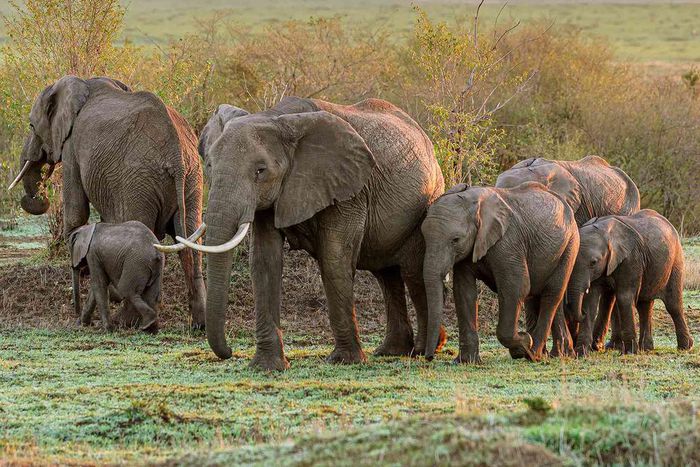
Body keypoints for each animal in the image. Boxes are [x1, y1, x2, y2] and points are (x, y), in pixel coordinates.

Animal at [8, 75, 207, 328]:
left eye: (32, 126)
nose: (34, 197)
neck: (80, 83)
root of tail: (176, 155)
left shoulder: (72, 146)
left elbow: (76, 211)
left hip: (138, 183)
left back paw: (127, 322)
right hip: (193, 179)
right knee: (191, 240)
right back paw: (199, 324)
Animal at [163, 96, 445, 370]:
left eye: (260, 171)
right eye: (209, 165)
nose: (230, 352)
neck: (276, 118)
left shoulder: (347, 188)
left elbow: (334, 259)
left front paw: (344, 361)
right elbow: (264, 261)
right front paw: (267, 367)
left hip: (426, 204)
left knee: (412, 272)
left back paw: (426, 349)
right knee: (386, 275)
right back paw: (392, 351)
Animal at [422, 182, 580, 363]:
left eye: (455, 240)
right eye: (424, 237)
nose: (429, 357)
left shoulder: (508, 242)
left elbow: (516, 287)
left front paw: (524, 343)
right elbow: (464, 291)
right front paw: (466, 362)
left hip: (570, 245)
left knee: (552, 294)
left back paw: (534, 354)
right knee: (549, 296)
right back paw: (560, 354)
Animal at [564, 210, 693, 354]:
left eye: (593, 262)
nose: (581, 313)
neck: (606, 233)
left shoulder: (631, 259)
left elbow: (624, 297)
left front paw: (630, 352)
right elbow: (590, 300)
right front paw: (581, 353)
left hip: (675, 261)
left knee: (673, 305)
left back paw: (685, 347)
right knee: (644, 306)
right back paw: (646, 349)